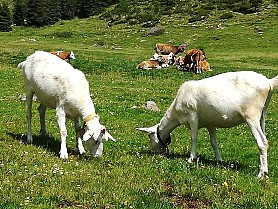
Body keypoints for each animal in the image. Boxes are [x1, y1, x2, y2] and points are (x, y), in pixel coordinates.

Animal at [137, 70, 278, 178]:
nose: (153, 152)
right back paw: (264, 170)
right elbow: (214, 142)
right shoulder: (211, 123)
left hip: (251, 115)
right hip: (262, 115)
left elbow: (193, 137)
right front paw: (219, 160)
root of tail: (268, 83)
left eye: (149, 136)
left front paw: (191, 158)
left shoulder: (192, 116)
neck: (176, 114)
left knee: (262, 142)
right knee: (265, 139)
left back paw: (261, 174)